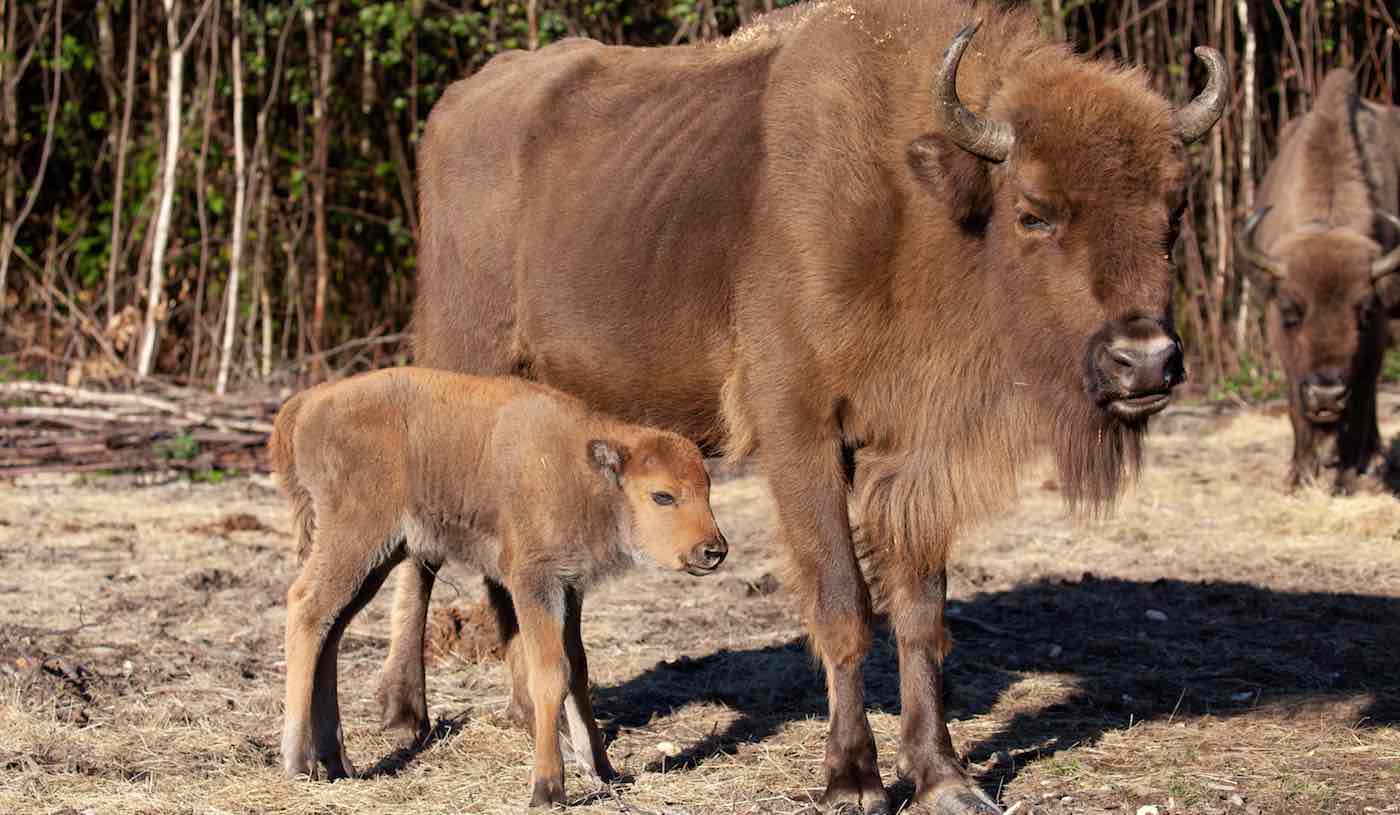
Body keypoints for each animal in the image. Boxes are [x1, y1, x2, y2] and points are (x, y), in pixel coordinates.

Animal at [267, 369, 728, 806]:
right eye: (663, 496)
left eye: (707, 489)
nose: (713, 550)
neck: (583, 472)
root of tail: (307, 403)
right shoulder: (533, 582)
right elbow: (551, 672)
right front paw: (548, 789)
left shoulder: (569, 587)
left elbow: (578, 669)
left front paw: (604, 769)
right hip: (356, 539)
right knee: (305, 609)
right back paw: (298, 764)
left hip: (377, 558)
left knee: (330, 630)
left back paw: (337, 763)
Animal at [386, 3, 1226, 812]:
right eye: (1034, 211)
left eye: (1174, 209)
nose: (1144, 359)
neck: (912, 202)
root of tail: (455, 108)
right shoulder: (801, 434)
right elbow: (843, 603)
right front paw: (853, 780)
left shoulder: (908, 455)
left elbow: (921, 612)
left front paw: (945, 776)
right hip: (456, 372)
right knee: (422, 547)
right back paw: (406, 717)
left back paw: (553, 719)